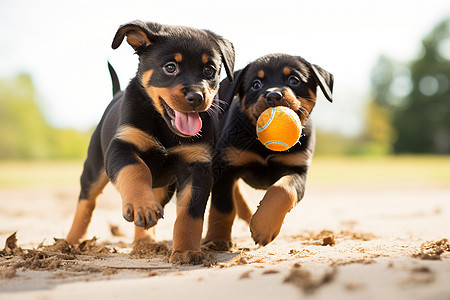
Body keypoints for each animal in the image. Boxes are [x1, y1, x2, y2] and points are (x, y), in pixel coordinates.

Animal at [67, 20, 236, 264]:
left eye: (209, 70)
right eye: (170, 67)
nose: (196, 97)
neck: (165, 127)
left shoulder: (197, 167)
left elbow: (190, 215)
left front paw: (186, 251)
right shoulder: (122, 146)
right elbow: (136, 170)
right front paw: (141, 205)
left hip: (163, 187)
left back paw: (144, 243)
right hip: (94, 166)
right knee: (86, 201)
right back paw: (69, 242)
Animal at [204, 53, 330, 248]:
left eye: (293, 80)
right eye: (256, 84)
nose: (273, 95)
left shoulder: (298, 170)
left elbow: (282, 190)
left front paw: (263, 225)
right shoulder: (226, 167)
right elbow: (222, 207)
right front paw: (217, 239)